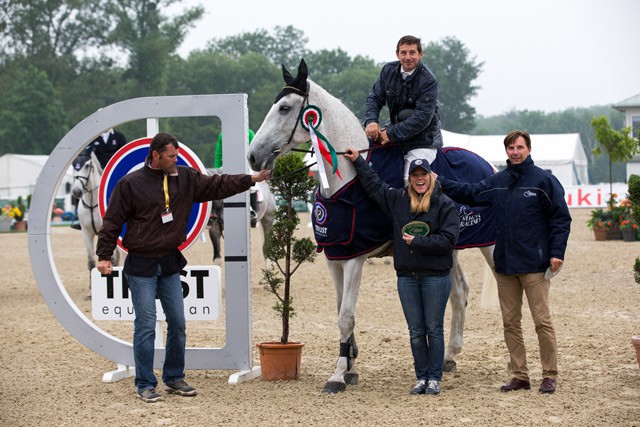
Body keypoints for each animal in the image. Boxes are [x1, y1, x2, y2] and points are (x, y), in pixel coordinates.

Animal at [248, 60, 498, 394]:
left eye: (285, 107)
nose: (253, 156)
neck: (347, 179)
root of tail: (488, 166)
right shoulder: (335, 258)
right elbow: (340, 308)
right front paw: (350, 367)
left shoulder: (355, 258)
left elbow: (346, 316)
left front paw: (337, 376)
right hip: (451, 249)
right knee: (460, 292)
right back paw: (450, 358)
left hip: (491, 245)